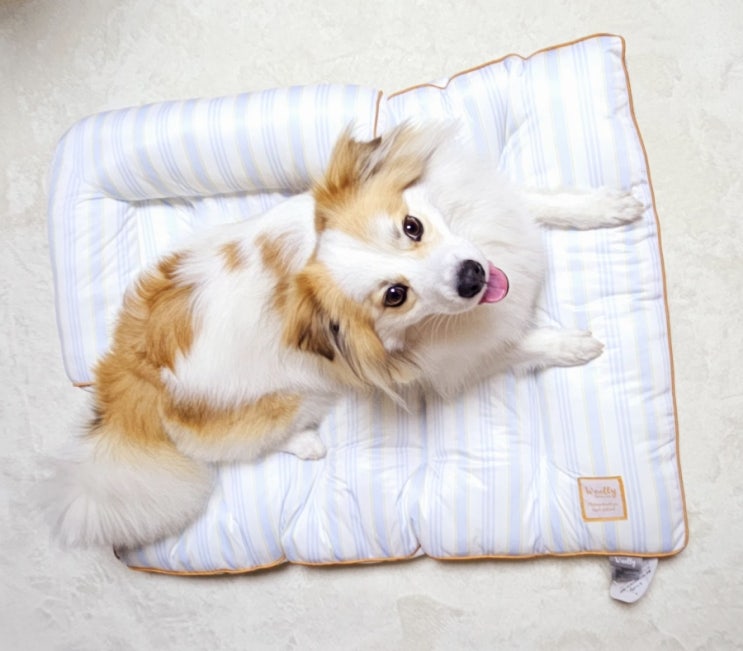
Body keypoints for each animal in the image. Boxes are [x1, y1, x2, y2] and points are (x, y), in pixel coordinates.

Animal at [43, 123, 643, 548]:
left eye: (412, 227)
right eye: (395, 295)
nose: (471, 277)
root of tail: (131, 368)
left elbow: (540, 203)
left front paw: (606, 207)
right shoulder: (457, 361)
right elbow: (519, 345)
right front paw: (572, 345)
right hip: (288, 398)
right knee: (237, 448)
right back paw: (307, 444)